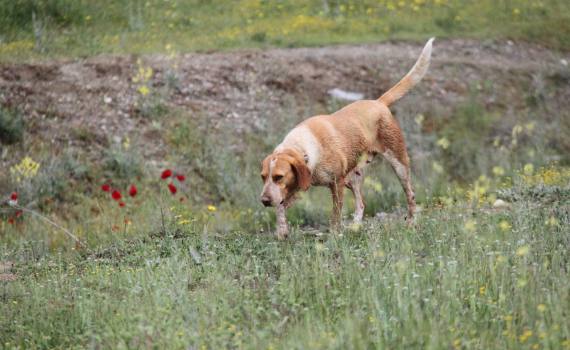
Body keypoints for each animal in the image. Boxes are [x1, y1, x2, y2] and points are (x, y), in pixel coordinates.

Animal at [260, 39, 432, 241]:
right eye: (263, 177)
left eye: (278, 176)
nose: (264, 201)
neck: (304, 149)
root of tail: (378, 102)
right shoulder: (293, 187)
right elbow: (280, 209)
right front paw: (281, 232)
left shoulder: (336, 184)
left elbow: (335, 214)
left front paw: (334, 235)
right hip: (353, 177)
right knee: (361, 203)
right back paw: (356, 227)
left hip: (399, 165)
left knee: (410, 196)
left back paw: (411, 223)